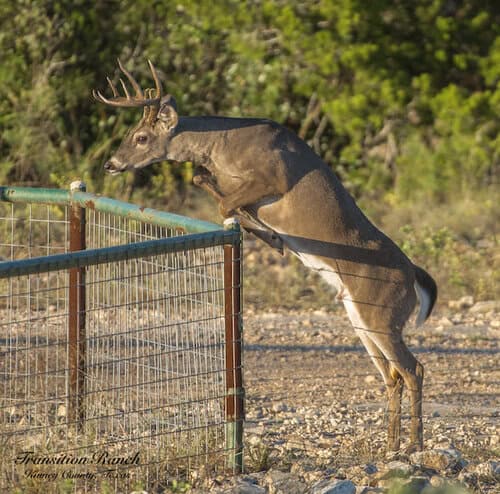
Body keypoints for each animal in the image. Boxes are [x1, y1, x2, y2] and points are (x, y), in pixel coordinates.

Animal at [94, 58, 438, 452]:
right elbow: (201, 179)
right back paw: (391, 444)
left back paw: (413, 445)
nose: (111, 163)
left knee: (413, 369)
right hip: (361, 317)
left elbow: (224, 201)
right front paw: (265, 231)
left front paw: (271, 235)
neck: (223, 146)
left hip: (382, 314)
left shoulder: (275, 176)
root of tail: (413, 275)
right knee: (392, 374)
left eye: (141, 137)